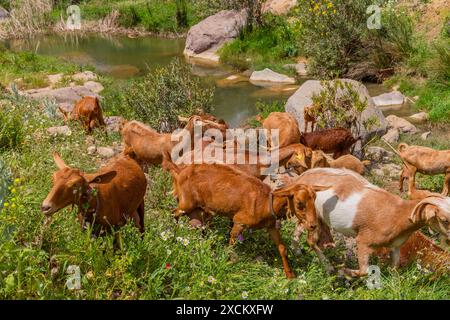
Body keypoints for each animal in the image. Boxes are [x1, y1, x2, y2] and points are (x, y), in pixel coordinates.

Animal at [294, 169, 450, 276]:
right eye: (444, 219)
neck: (398, 213)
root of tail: (302, 177)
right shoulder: (364, 241)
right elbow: (364, 271)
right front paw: (345, 272)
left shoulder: (395, 246)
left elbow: (394, 270)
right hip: (313, 217)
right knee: (311, 240)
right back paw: (329, 267)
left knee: (299, 230)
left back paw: (297, 251)